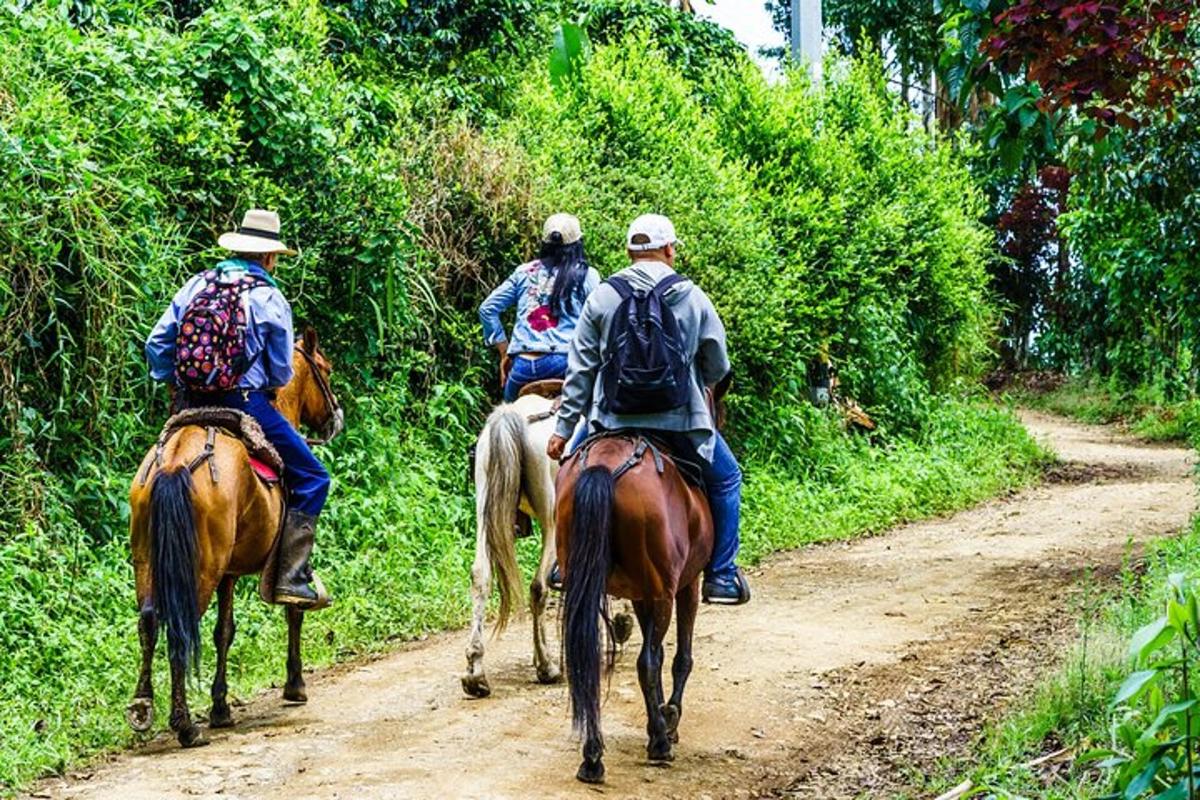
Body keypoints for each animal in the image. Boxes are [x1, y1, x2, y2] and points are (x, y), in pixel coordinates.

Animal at [126, 328, 340, 748]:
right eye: (325, 369)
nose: (334, 416)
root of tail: (174, 463)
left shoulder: (228, 572)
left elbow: (223, 631)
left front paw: (220, 707)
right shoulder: (273, 565)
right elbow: (293, 607)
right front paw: (295, 684)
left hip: (149, 558)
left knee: (149, 621)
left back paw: (143, 708)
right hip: (200, 567)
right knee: (179, 626)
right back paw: (184, 725)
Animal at [554, 434, 710, 786]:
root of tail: (604, 466)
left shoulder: (641, 595)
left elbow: (662, 654)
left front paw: (660, 717)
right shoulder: (685, 585)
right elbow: (679, 658)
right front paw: (668, 719)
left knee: (588, 664)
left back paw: (592, 758)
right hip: (664, 590)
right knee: (646, 663)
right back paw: (660, 745)